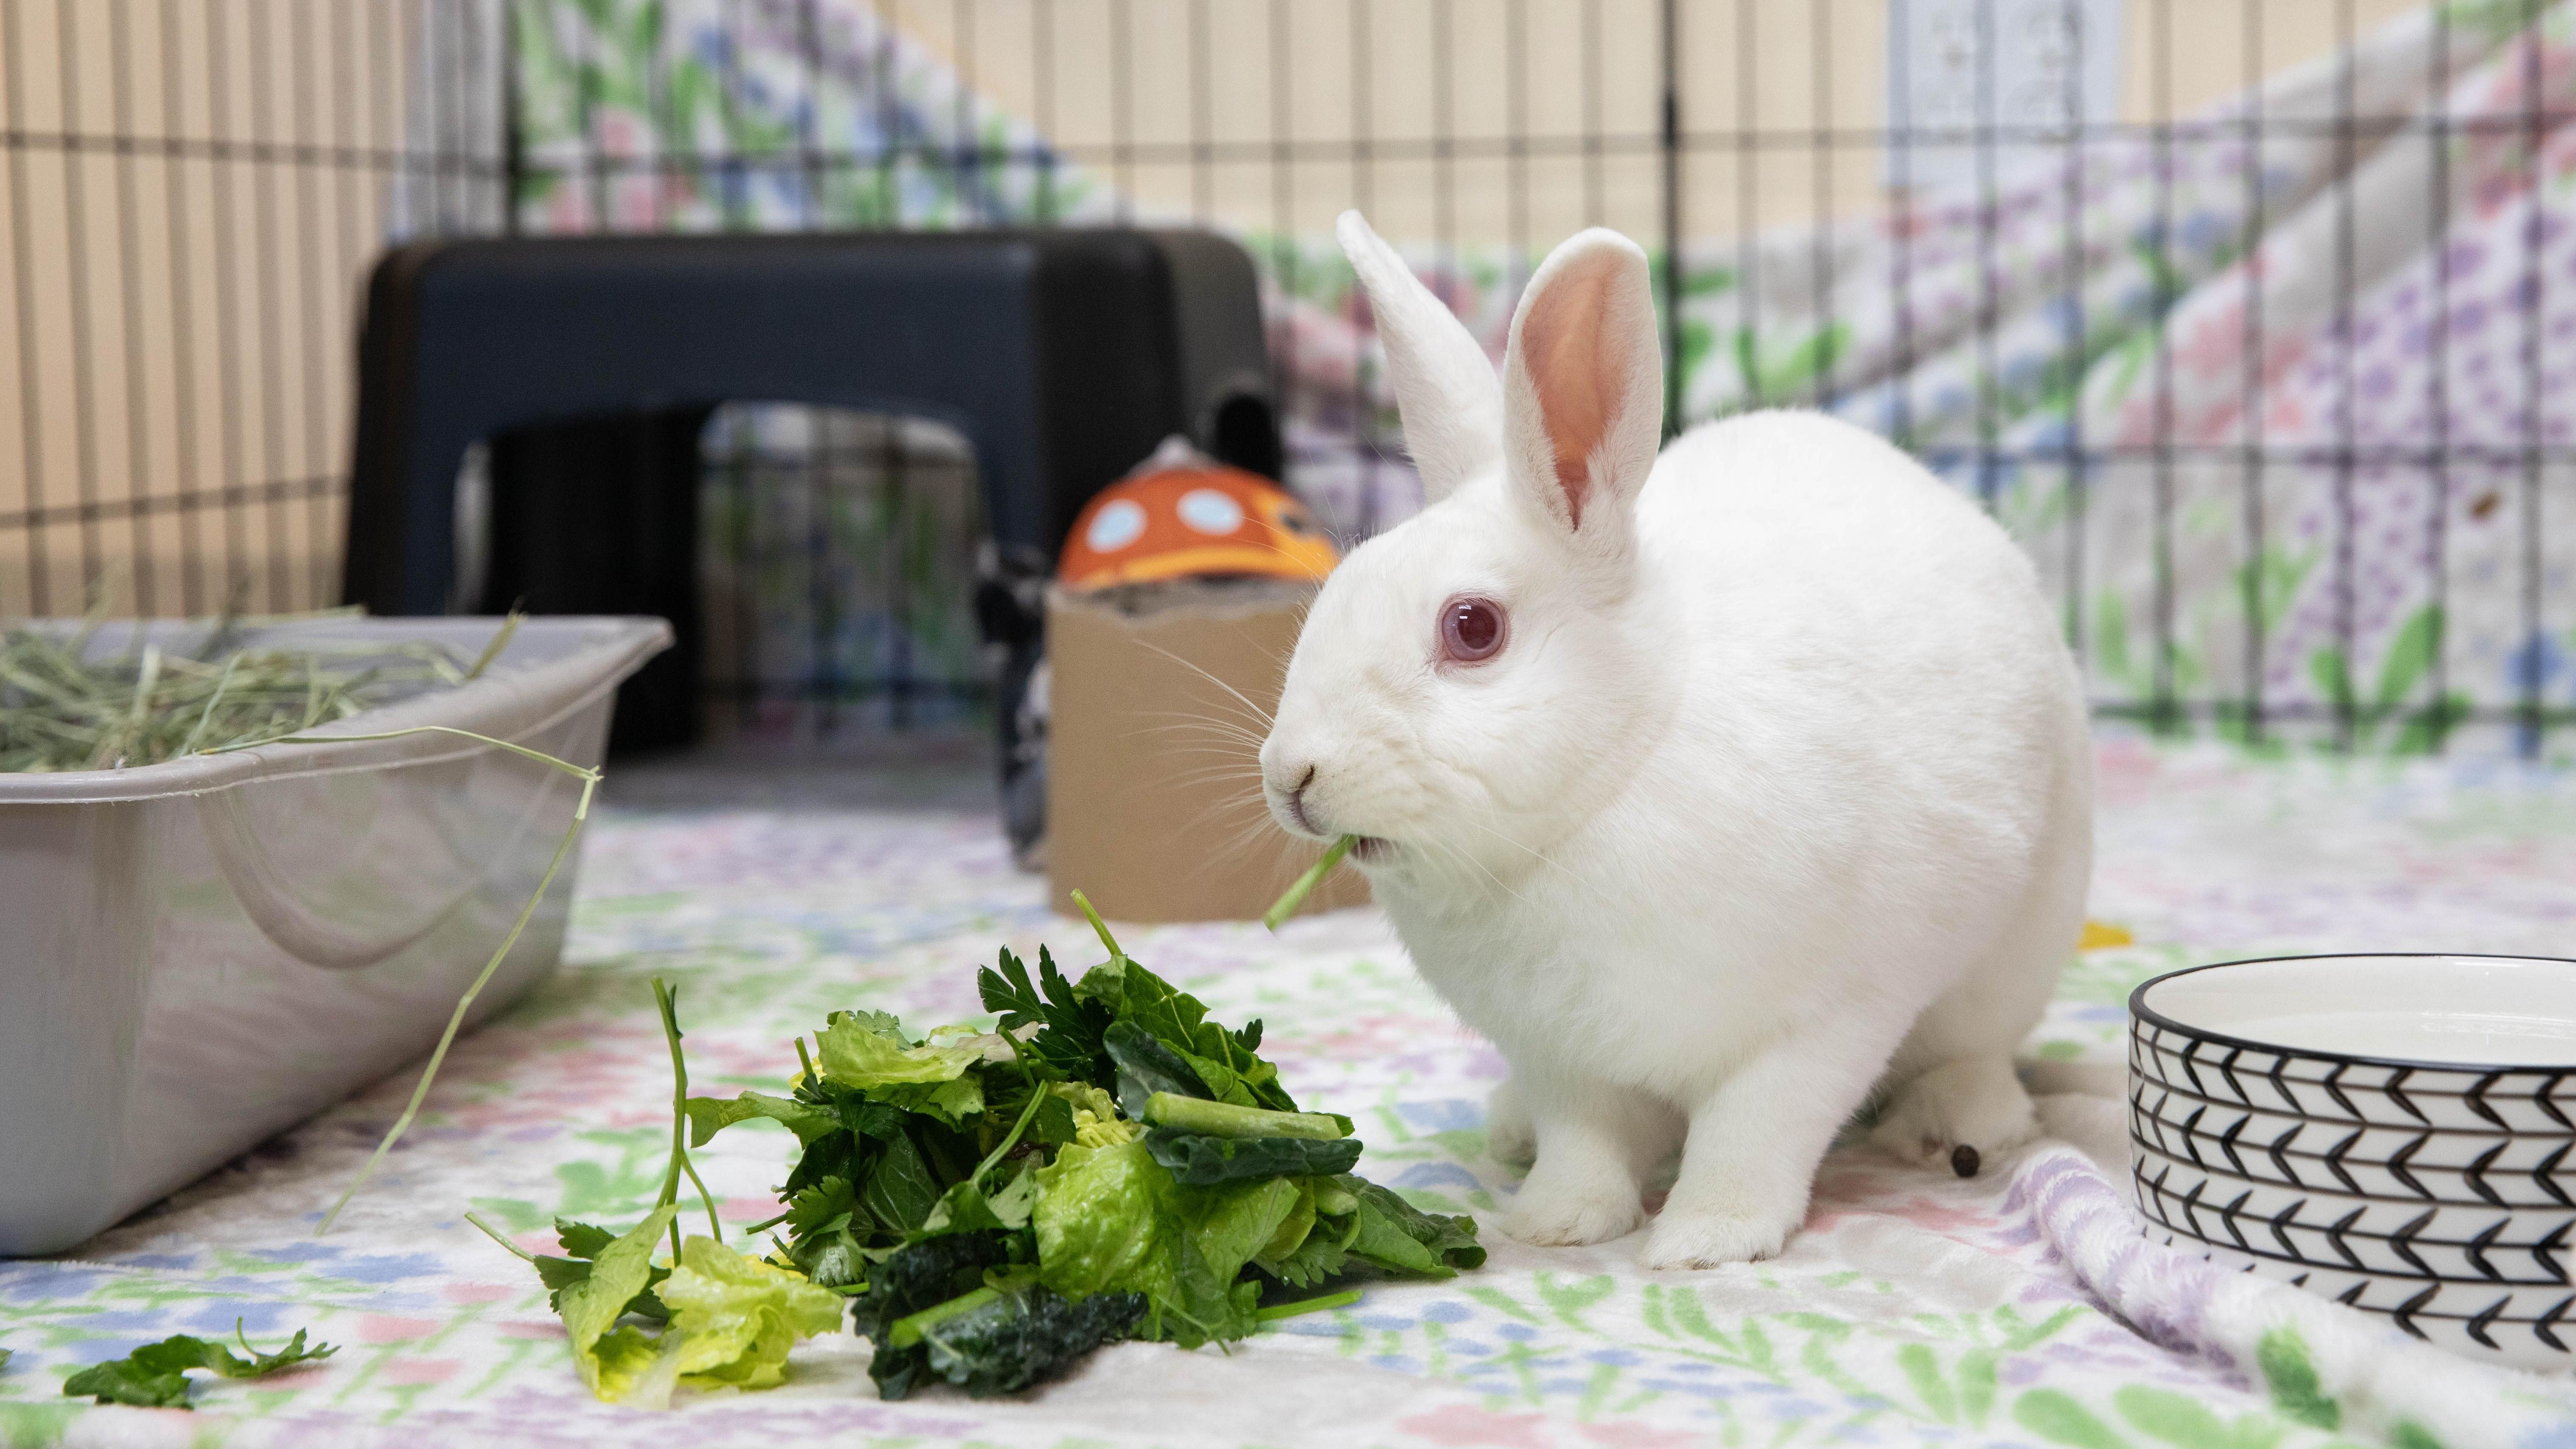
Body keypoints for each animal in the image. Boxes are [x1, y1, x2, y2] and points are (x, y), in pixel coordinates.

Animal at [1257, 212, 2093, 1270]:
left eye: (1473, 628)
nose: (1290, 775)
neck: (1609, 782)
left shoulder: (1821, 1022)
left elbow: (1753, 1131)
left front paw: (1706, 1240)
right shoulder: (1561, 1059)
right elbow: (1585, 1143)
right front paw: (1557, 1223)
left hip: (2016, 955)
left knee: (1976, 1053)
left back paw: (1961, 1123)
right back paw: (1509, 1133)